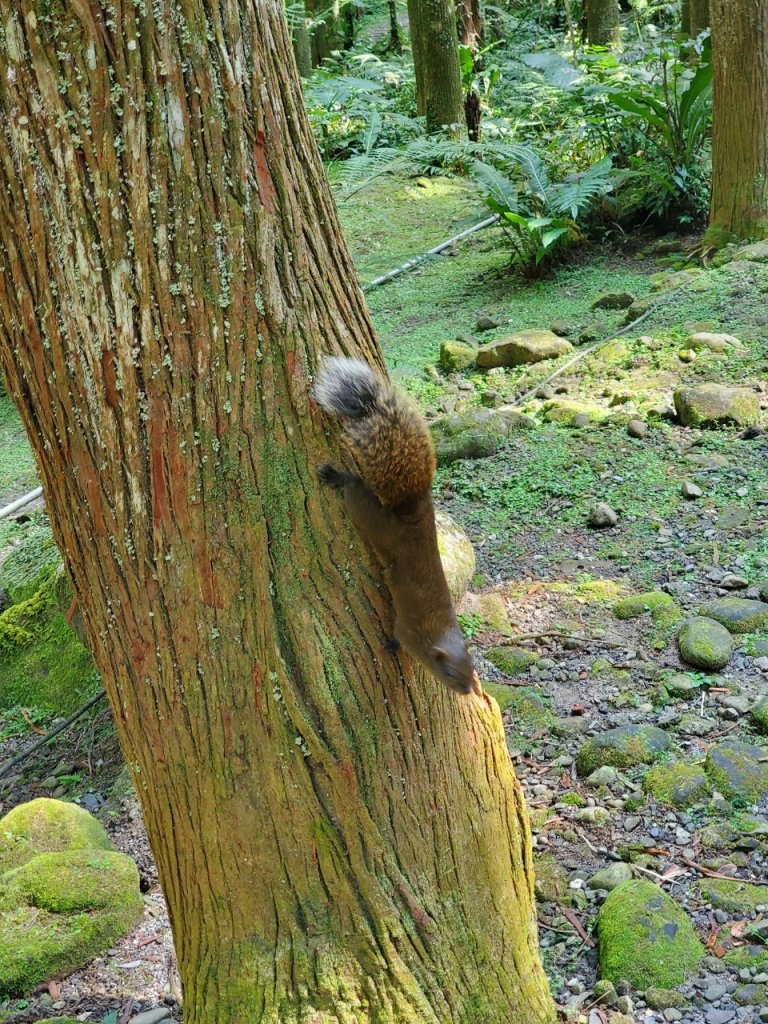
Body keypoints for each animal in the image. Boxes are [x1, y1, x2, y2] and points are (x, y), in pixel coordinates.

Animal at [313, 354, 475, 696]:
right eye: (450, 673)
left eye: (472, 666)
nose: (468, 690)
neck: (440, 634)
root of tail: (411, 508)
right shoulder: (409, 629)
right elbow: (398, 636)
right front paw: (390, 645)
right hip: (371, 519)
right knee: (354, 488)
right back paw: (335, 477)